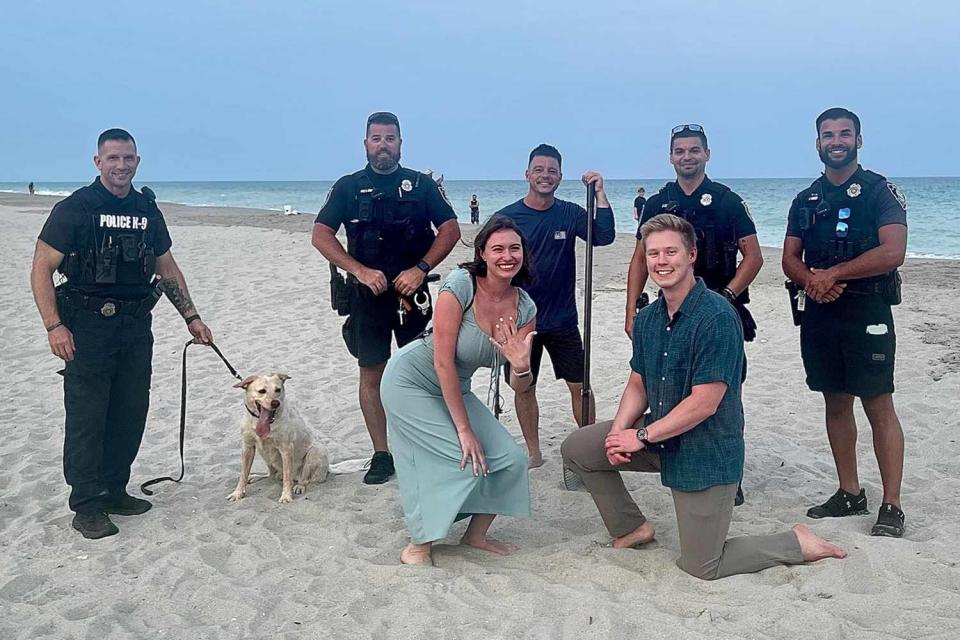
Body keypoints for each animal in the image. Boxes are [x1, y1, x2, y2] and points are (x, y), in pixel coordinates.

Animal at [226, 372, 328, 502]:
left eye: (278, 390)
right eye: (262, 391)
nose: (275, 403)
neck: (259, 422)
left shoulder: (286, 449)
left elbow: (287, 477)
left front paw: (286, 496)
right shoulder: (247, 447)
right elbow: (243, 474)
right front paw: (237, 493)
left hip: (316, 451)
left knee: (304, 478)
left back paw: (299, 486)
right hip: (265, 456)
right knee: (271, 474)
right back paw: (256, 476)